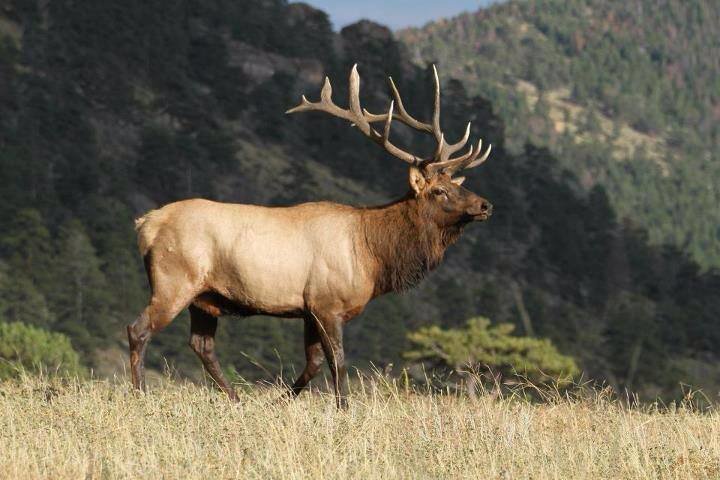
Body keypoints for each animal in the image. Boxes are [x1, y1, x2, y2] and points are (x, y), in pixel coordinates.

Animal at [126, 64, 492, 408]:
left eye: (458, 184)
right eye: (440, 191)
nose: (485, 205)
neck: (373, 255)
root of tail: (145, 223)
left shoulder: (308, 308)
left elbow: (314, 362)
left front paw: (277, 402)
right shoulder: (326, 302)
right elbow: (337, 362)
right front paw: (343, 408)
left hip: (205, 297)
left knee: (201, 345)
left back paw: (235, 399)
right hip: (174, 280)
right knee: (138, 329)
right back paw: (140, 393)